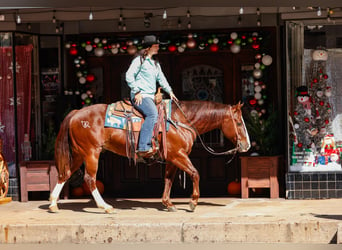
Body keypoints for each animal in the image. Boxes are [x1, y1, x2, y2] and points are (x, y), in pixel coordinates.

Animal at [48, 100, 250, 214]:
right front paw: (193, 202)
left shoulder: (172, 158)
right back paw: (105, 206)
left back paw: (53, 204)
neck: (180, 120)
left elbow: (168, 179)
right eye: (239, 122)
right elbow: (195, 173)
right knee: (90, 179)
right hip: (91, 153)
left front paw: (168, 204)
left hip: (79, 154)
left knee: (64, 174)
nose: (247, 145)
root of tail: (76, 113)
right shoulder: (179, 155)